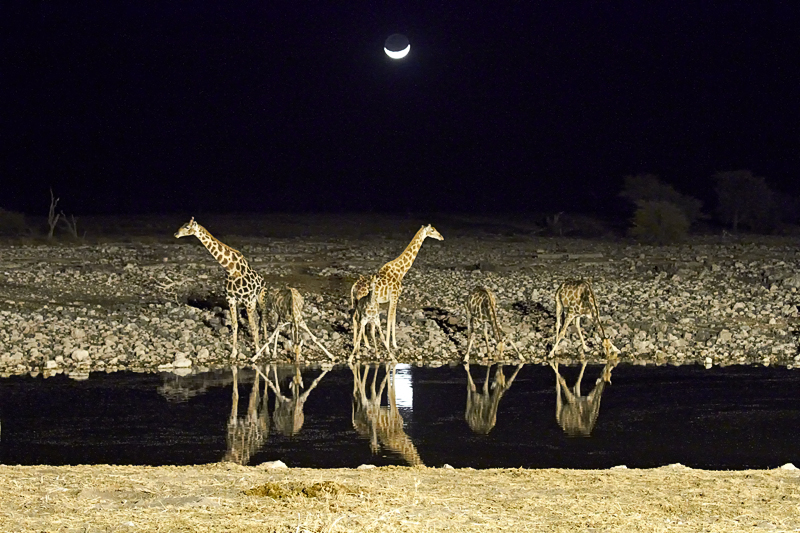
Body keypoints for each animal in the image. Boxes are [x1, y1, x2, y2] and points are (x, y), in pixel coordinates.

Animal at [175, 216, 266, 358]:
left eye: (187, 227)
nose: (176, 234)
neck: (230, 268)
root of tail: (262, 279)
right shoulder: (231, 299)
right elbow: (235, 324)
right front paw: (233, 353)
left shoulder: (247, 300)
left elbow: (252, 325)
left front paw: (257, 351)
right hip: (252, 302)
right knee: (257, 319)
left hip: (260, 297)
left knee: (264, 319)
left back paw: (267, 350)